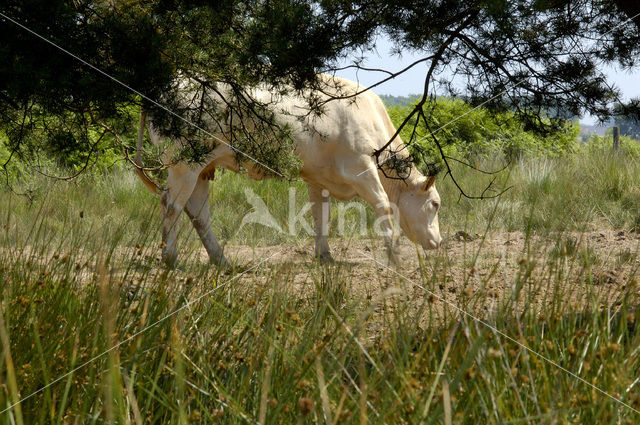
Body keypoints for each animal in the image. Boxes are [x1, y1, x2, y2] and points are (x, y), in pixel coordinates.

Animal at [136, 73, 440, 264]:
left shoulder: (318, 178)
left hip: (201, 168)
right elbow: (384, 205)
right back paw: (170, 258)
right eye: (435, 204)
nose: (438, 242)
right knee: (171, 205)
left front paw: (325, 256)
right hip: (183, 164)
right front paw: (396, 257)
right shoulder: (360, 168)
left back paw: (221, 260)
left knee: (198, 213)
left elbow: (320, 216)